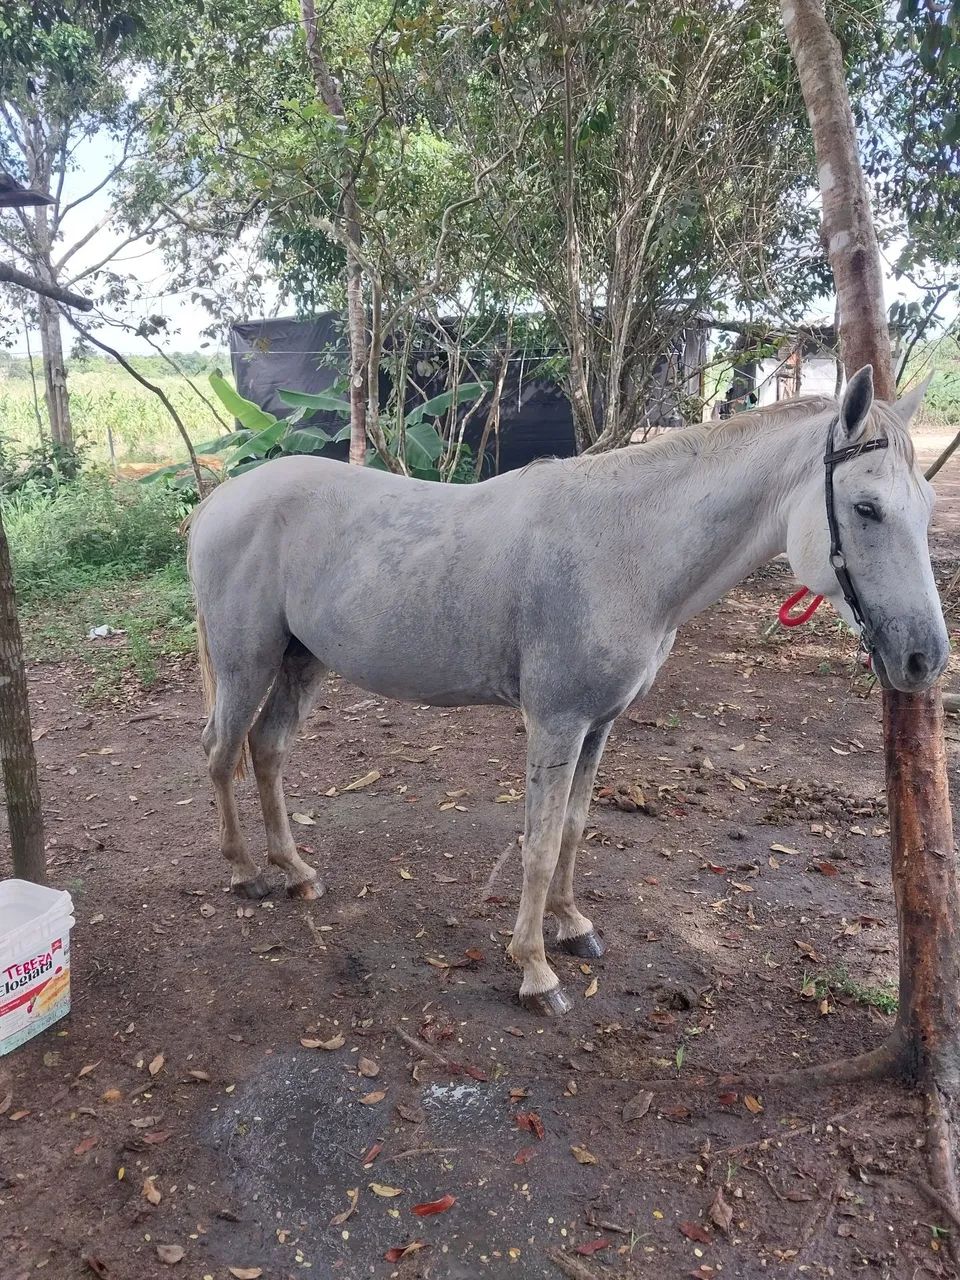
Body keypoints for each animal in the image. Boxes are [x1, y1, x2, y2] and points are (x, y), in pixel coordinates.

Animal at [186, 365, 948, 1015]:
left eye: (925, 505)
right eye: (867, 508)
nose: (924, 658)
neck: (626, 549)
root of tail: (220, 499)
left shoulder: (599, 723)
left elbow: (577, 829)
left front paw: (573, 925)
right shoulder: (556, 722)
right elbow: (542, 840)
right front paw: (534, 969)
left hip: (302, 662)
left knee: (267, 749)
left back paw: (296, 871)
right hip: (247, 662)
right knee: (223, 752)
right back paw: (245, 873)